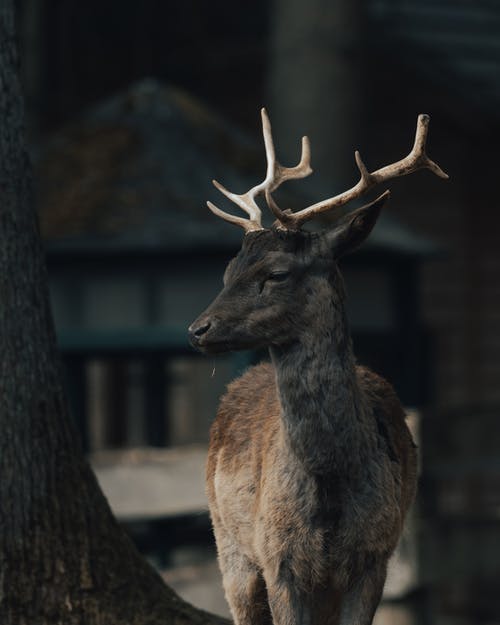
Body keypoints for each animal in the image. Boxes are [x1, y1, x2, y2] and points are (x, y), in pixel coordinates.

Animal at [189, 112, 448, 624]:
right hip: (228, 544)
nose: (198, 328)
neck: (330, 483)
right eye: (228, 271)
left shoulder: (374, 558)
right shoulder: (278, 559)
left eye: (276, 273)